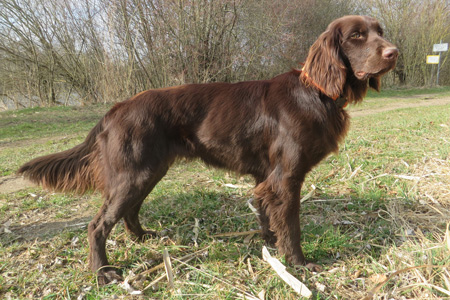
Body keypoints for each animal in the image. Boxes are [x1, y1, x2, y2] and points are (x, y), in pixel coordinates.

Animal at [17, 15, 398, 284]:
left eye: (380, 31)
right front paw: (299, 264)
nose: (394, 53)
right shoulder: (285, 177)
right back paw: (103, 273)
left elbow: (267, 216)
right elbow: (292, 226)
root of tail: (116, 109)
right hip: (133, 174)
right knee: (97, 226)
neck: (317, 92)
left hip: (149, 171)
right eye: (356, 36)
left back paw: (142, 238)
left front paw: (270, 246)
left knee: (129, 211)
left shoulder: (265, 177)